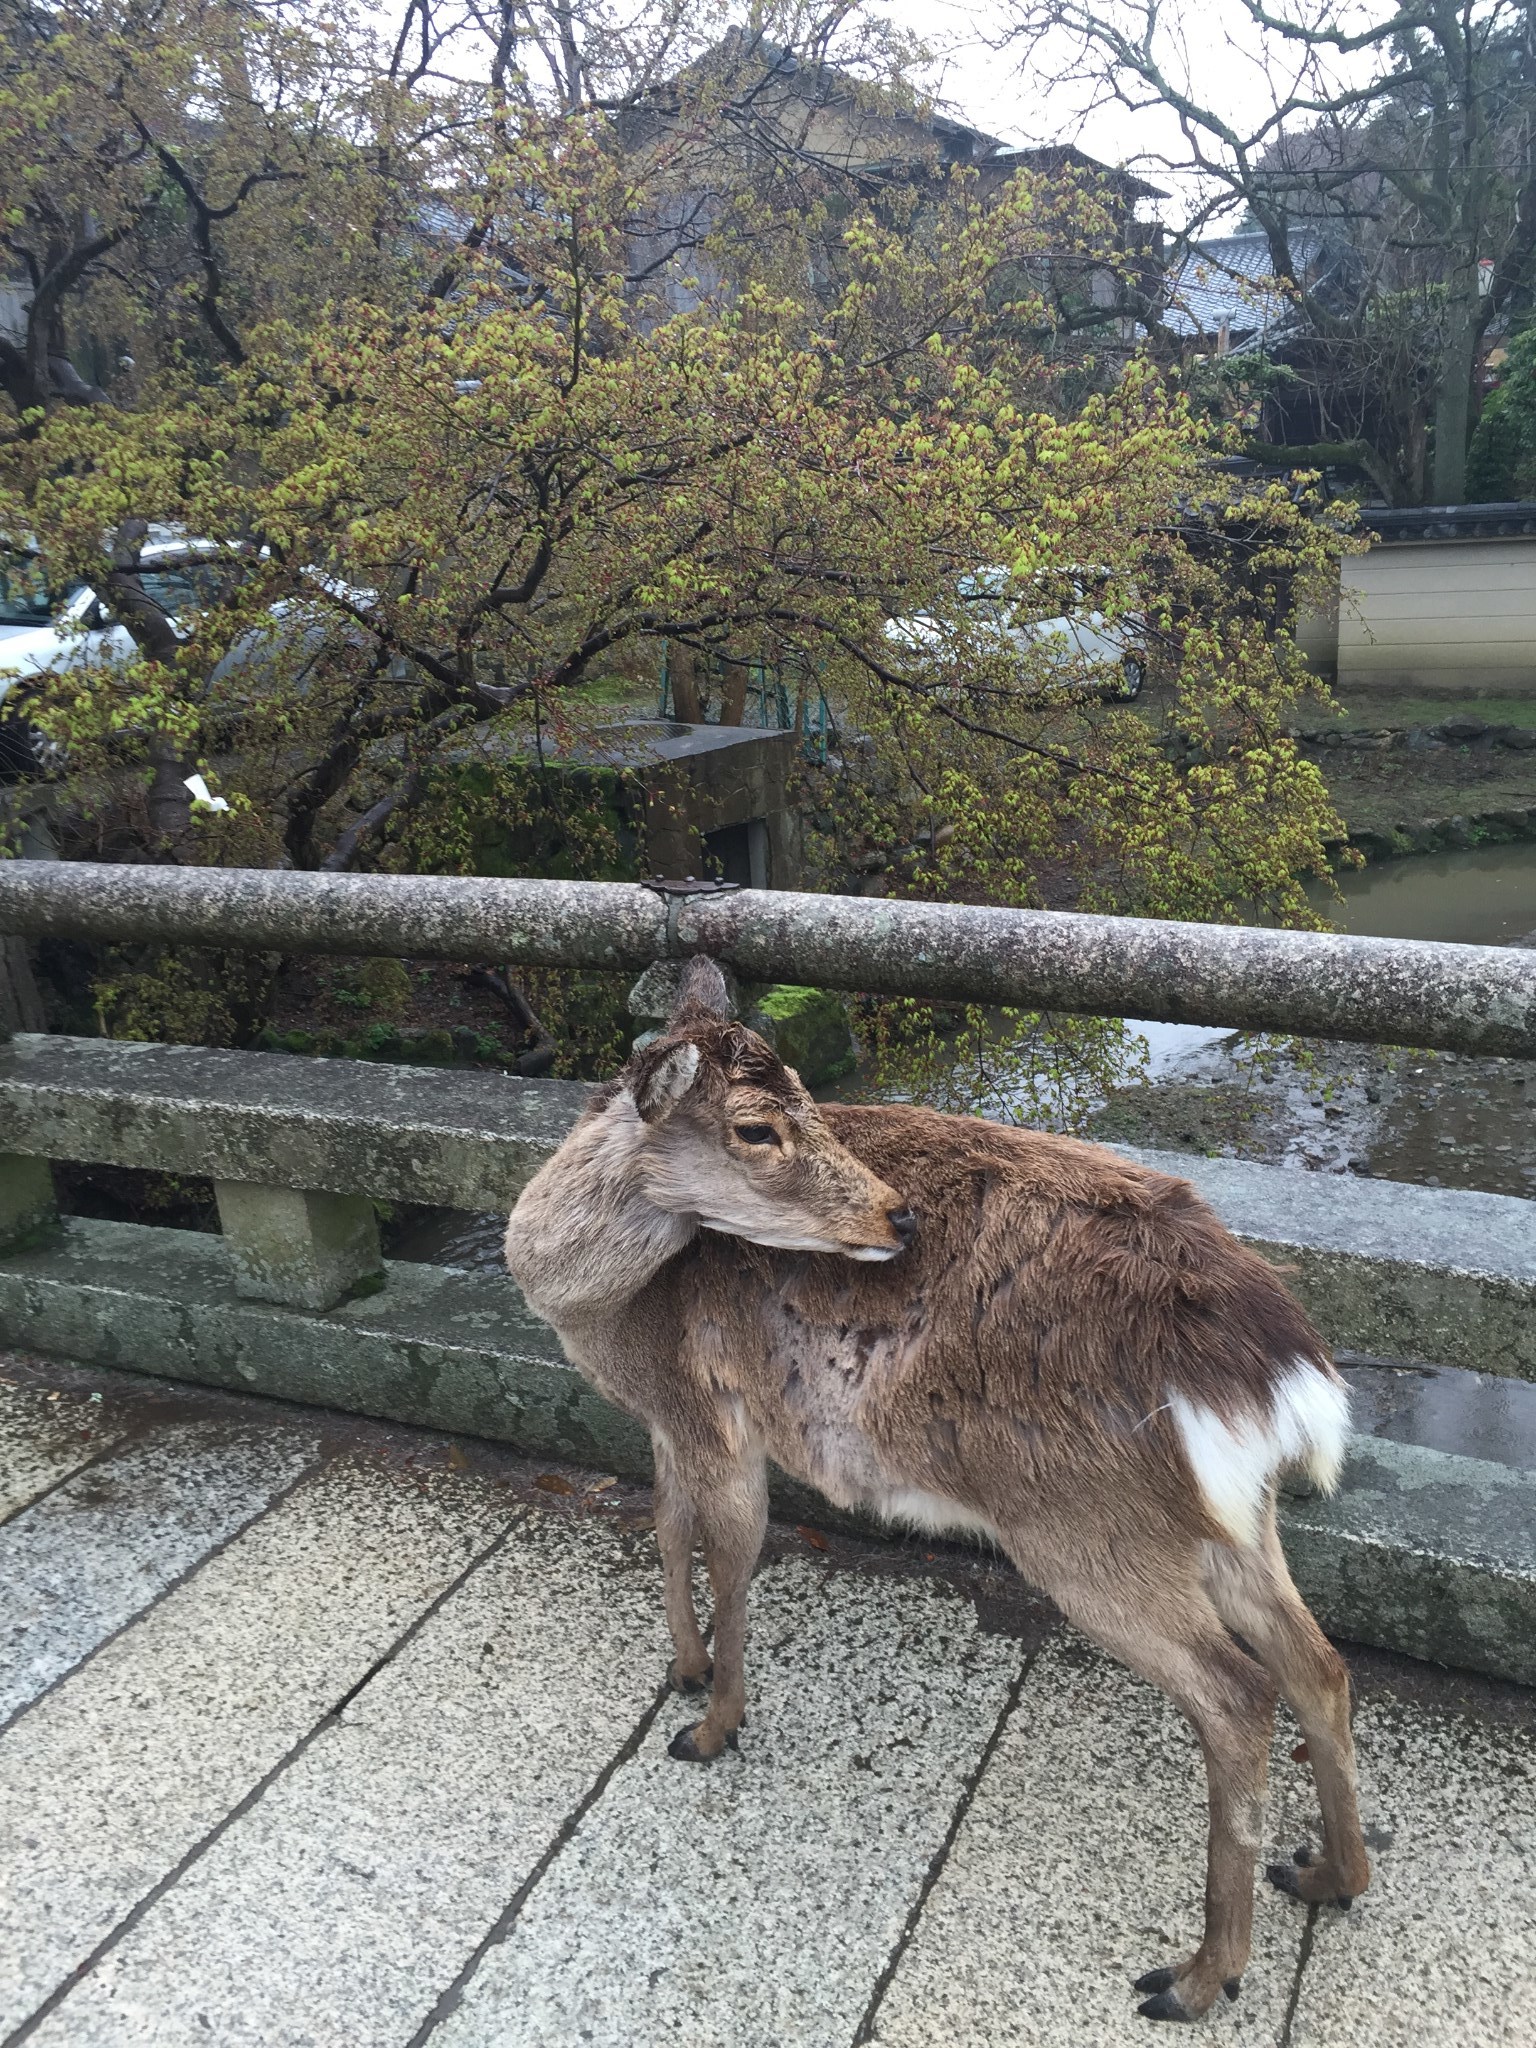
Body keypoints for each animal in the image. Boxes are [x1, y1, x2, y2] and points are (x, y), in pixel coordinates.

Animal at [505, 954, 1368, 2015]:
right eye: (757, 1125)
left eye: (805, 1099)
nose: (896, 1213)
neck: (603, 1318)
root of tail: (1284, 1370)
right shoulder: (665, 1420)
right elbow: (667, 1529)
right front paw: (686, 1669)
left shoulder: (718, 1415)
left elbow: (733, 1554)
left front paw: (709, 1729)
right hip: (1232, 1518)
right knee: (1317, 1662)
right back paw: (1328, 1874)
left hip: (1085, 1525)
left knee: (1239, 1692)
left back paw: (1195, 1977)